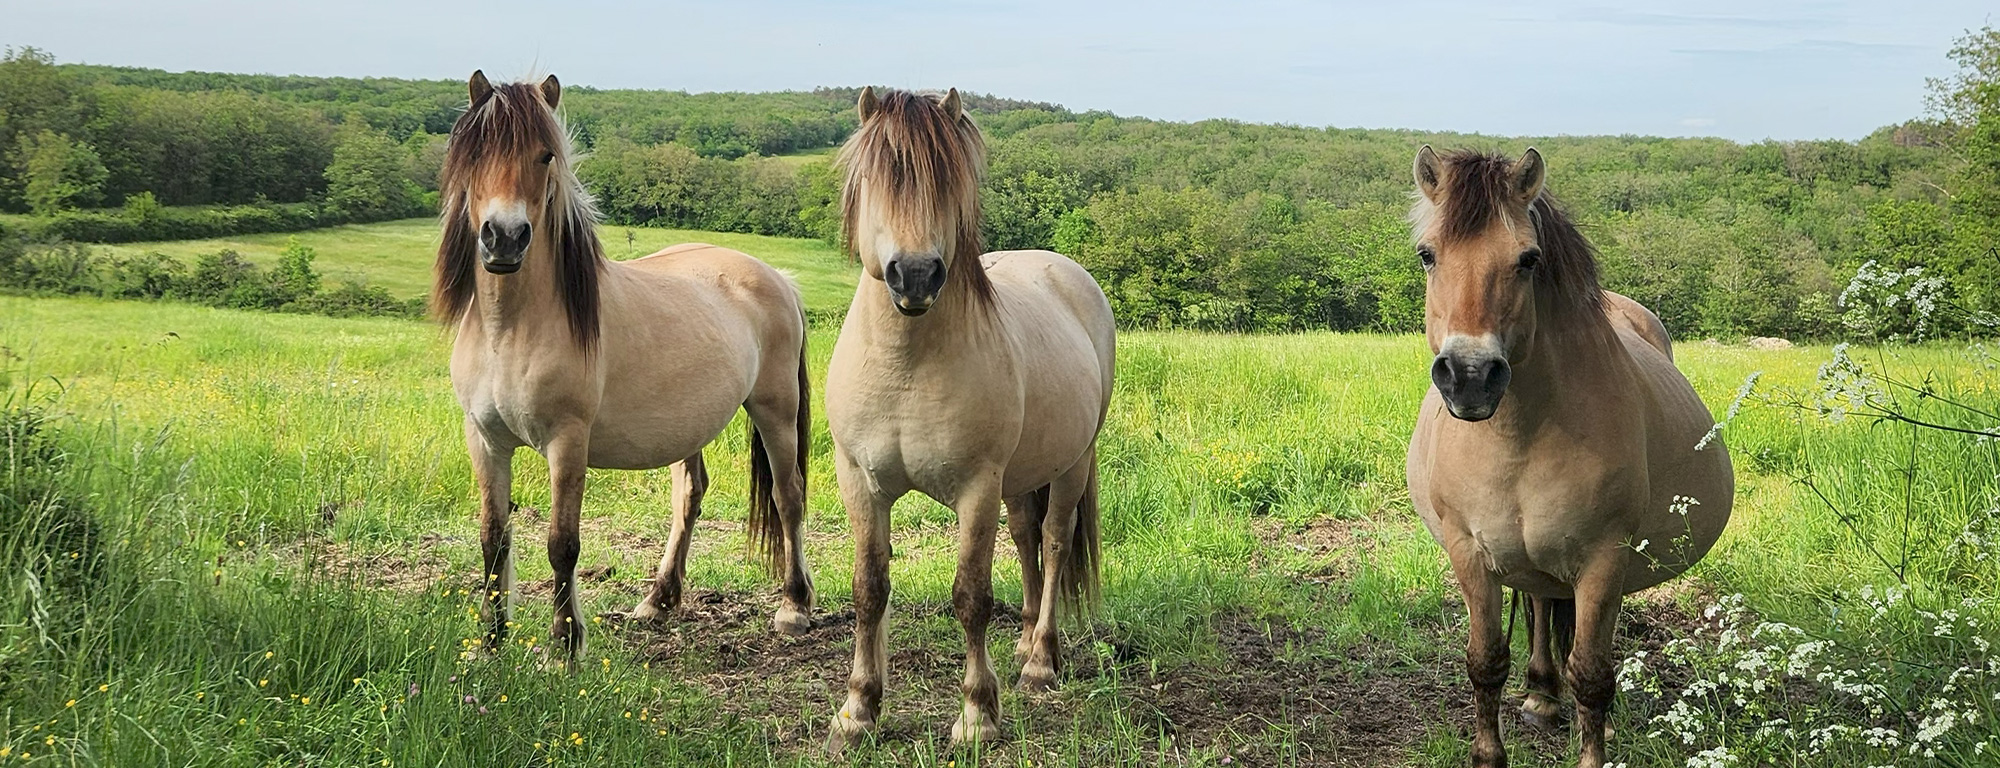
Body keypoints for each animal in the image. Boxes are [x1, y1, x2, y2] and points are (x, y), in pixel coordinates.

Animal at [433, 71, 816, 661]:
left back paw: (794, 607)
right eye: (473, 154)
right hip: (691, 428)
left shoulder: (567, 442)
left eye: (545, 155)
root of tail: (777, 277)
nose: (504, 238)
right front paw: (490, 642)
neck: (512, 329)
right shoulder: (484, 439)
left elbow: (562, 545)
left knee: (787, 495)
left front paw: (565, 646)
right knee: (689, 497)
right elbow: (493, 540)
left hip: (775, 410)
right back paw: (659, 599)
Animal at [822, 87, 1116, 750]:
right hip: (1021, 478)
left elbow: (971, 597)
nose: (915, 274)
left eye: (947, 182)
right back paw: (1026, 641)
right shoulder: (860, 482)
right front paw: (858, 709)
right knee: (1027, 538)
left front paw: (978, 714)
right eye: (877, 179)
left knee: (1054, 542)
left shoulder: (977, 488)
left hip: (1071, 463)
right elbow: (869, 588)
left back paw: (1041, 661)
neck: (906, 366)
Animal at [1404, 147, 1733, 768]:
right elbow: (1485, 663)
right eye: (1427, 254)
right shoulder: (1468, 554)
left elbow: (1593, 676)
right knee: (1538, 604)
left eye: (1528, 259)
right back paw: (1539, 696)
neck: (1519, 434)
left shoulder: (1603, 559)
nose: (1470, 376)